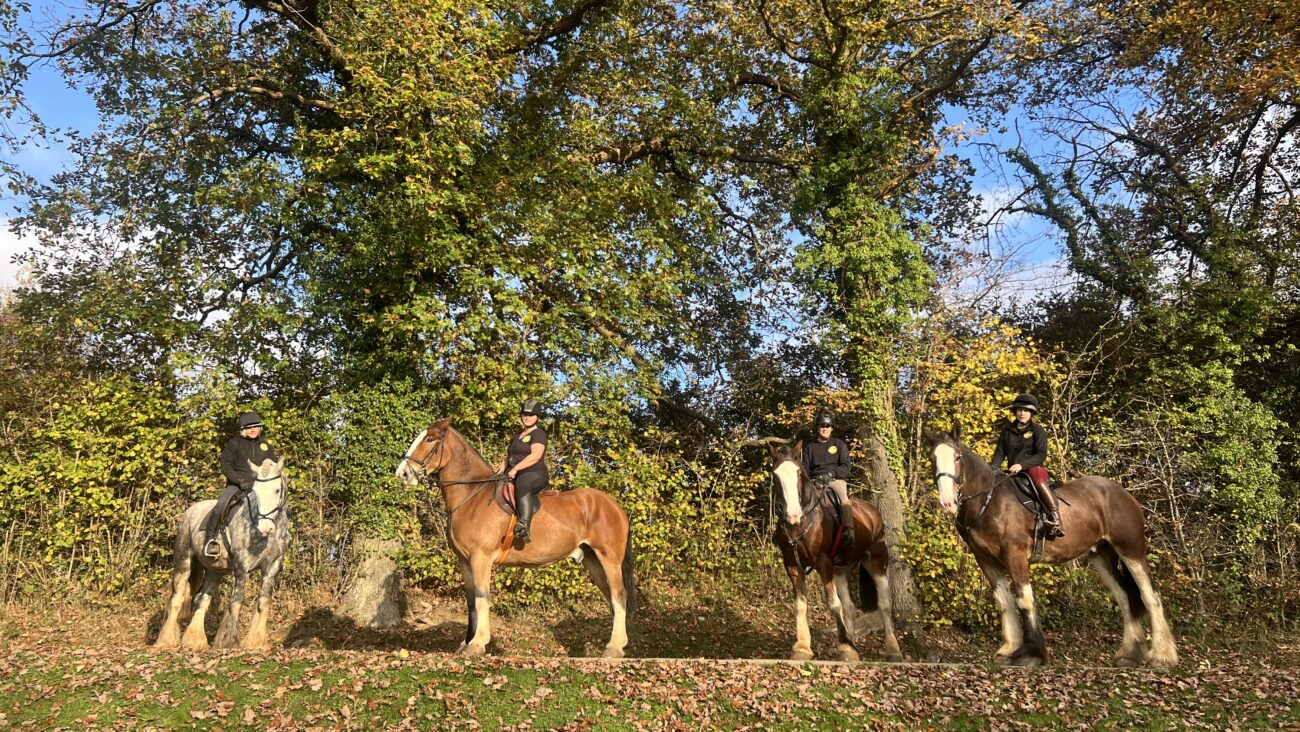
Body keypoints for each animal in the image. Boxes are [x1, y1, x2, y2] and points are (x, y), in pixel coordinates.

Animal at [153, 457, 288, 652]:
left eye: (277, 490)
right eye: (256, 491)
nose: (265, 528)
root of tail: (190, 510)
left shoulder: (272, 566)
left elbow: (264, 602)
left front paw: (256, 642)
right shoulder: (242, 567)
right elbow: (236, 602)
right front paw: (229, 641)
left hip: (214, 571)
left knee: (201, 599)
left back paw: (194, 640)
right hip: (184, 561)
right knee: (176, 599)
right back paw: (167, 640)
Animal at [397, 418, 637, 657]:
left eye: (430, 439)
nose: (403, 474)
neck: (472, 495)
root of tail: (616, 507)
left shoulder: (480, 558)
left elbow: (482, 598)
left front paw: (478, 643)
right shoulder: (464, 561)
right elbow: (471, 601)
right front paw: (465, 643)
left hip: (609, 558)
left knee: (619, 595)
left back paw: (614, 648)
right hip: (592, 559)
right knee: (612, 597)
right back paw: (618, 643)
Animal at [764, 442, 899, 665]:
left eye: (798, 473)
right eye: (776, 475)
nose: (793, 515)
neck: (802, 521)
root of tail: (871, 510)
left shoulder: (823, 563)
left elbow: (833, 604)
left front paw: (843, 644)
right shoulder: (792, 564)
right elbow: (800, 605)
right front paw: (803, 647)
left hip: (877, 562)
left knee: (885, 604)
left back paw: (892, 649)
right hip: (841, 569)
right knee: (850, 607)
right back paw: (852, 644)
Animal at [925, 423, 1180, 670]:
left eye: (958, 457)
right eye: (932, 458)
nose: (947, 503)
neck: (990, 501)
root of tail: (1125, 495)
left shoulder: (1015, 555)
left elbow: (1024, 600)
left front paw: (1032, 654)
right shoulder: (986, 560)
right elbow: (1004, 602)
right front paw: (1008, 651)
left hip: (1131, 550)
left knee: (1150, 594)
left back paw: (1162, 657)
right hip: (1102, 557)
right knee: (1125, 597)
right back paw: (1128, 655)